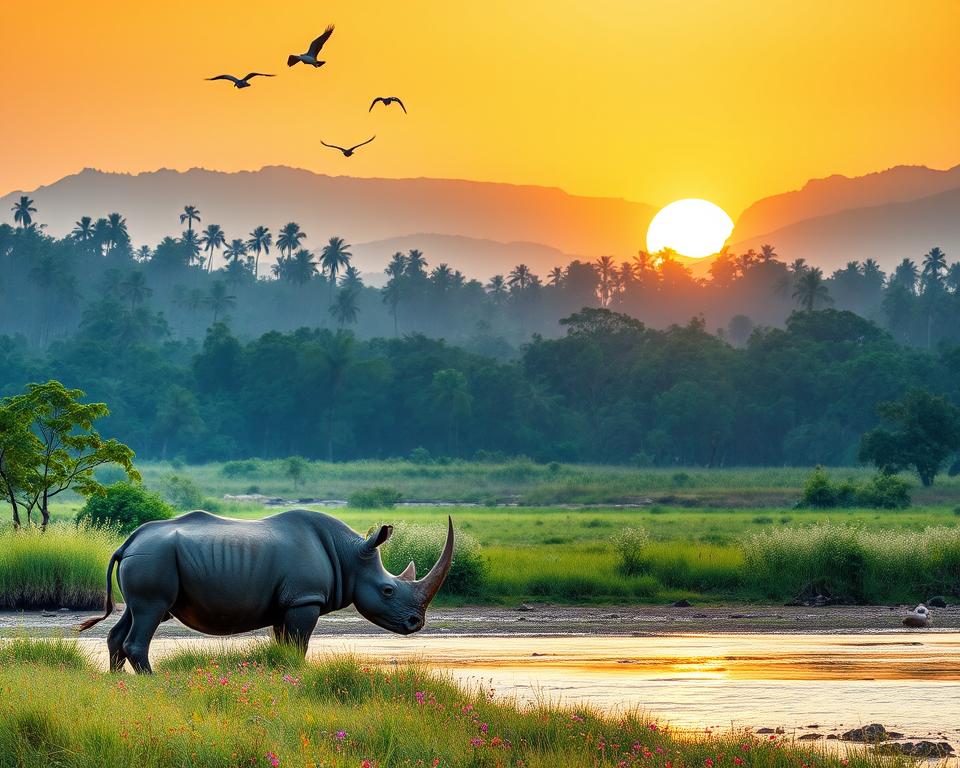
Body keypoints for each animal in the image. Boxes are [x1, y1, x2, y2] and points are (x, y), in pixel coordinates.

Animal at [78, 510, 454, 673]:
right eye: (388, 590)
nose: (416, 623)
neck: (349, 556)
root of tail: (128, 542)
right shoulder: (305, 599)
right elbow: (300, 644)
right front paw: (298, 674)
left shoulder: (289, 601)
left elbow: (286, 643)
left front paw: (285, 672)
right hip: (153, 558)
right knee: (149, 613)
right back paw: (152, 683)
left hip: (148, 557)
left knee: (134, 612)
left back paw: (118, 683)